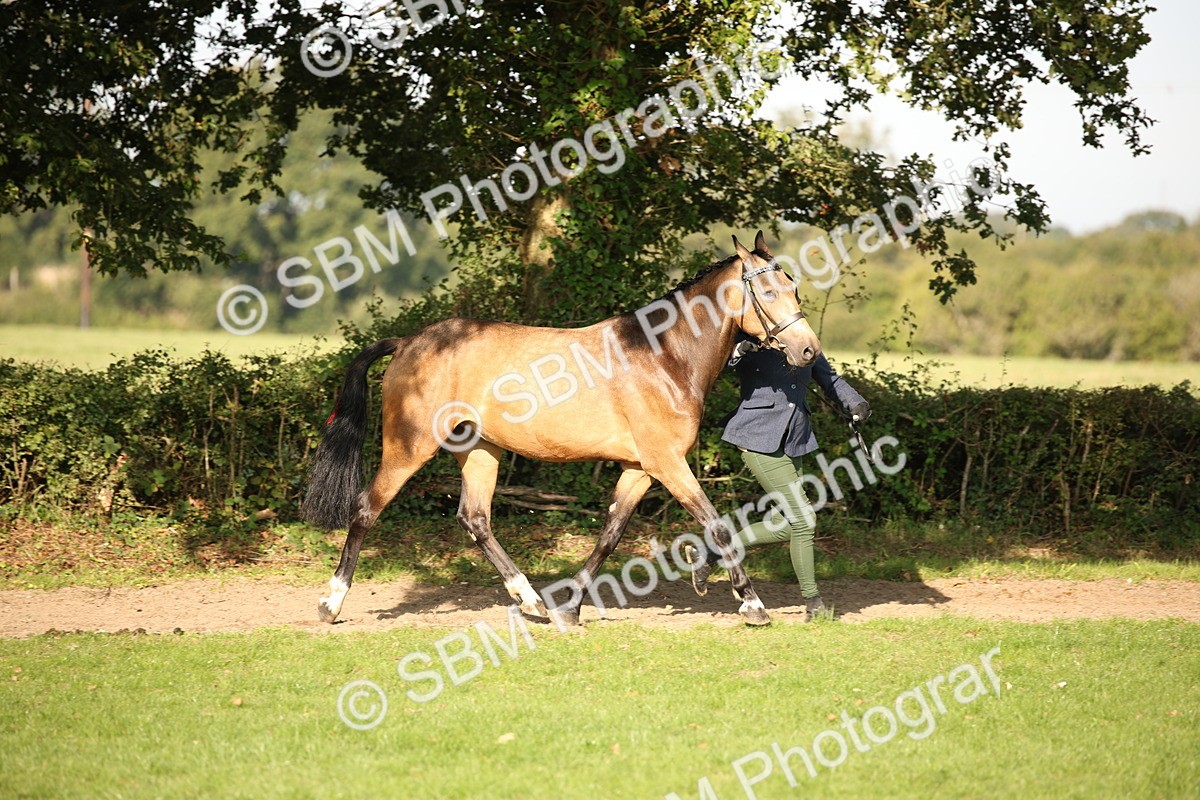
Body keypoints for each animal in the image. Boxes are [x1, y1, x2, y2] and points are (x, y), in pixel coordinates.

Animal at [303, 231, 821, 627]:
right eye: (768, 293)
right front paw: (752, 605)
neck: (663, 358)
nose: (808, 351)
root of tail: (409, 341)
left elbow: (610, 534)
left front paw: (569, 609)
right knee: (366, 509)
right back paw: (331, 603)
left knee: (475, 519)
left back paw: (531, 601)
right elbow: (716, 525)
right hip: (409, 446)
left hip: (480, 451)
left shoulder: (639, 468)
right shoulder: (667, 463)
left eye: (794, 289)